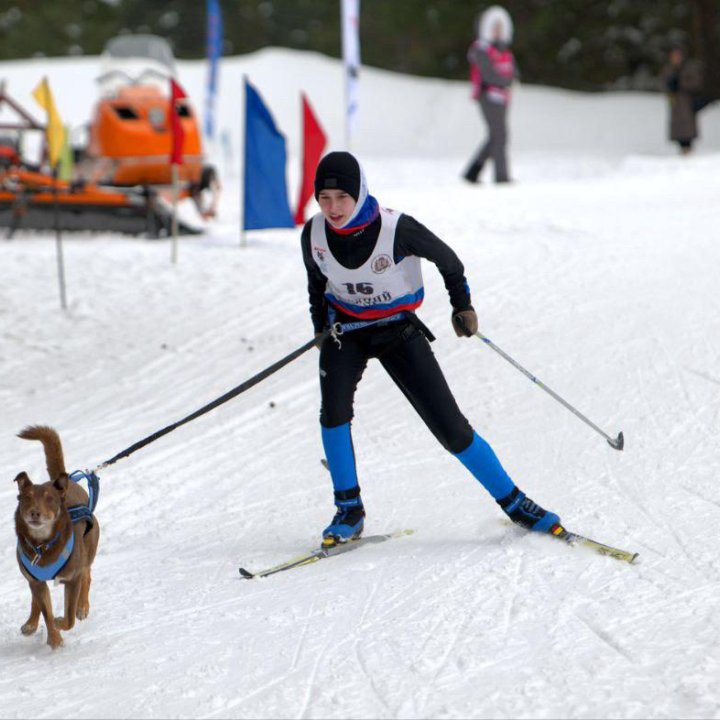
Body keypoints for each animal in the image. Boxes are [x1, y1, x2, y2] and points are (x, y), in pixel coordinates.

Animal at [14, 424, 100, 648]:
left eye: (50, 498)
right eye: (26, 498)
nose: (34, 513)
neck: (43, 545)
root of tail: (68, 481)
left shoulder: (72, 578)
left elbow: (68, 617)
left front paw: (60, 623)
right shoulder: (35, 579)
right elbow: (45, 609)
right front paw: (54, 638)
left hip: (88, 550)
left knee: (87, 575)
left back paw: (82, 607)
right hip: (33, 578)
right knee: (36, 599)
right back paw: (30, 624)